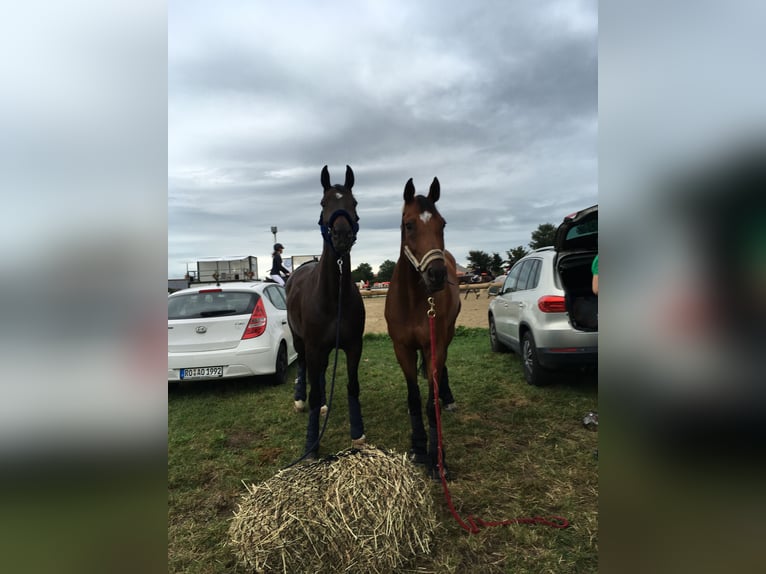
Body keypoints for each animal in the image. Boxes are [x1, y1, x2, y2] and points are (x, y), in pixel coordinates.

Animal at [286, 164, 368, 462]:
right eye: (324, 203)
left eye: (354, 202)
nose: (341, 235)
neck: (333, 298)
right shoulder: (312, 346)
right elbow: (312, 387)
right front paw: (311, 444)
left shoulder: (354, 345)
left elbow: (353, 387)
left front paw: (358, 434)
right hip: (300, 341)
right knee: (304, 368)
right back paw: (301, 400)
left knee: (320, 375)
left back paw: (323, 403)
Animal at [384, 178, 462, 480]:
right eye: (409, 225)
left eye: (443, 224)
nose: (437, 275)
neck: (413, 300)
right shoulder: (402, 349)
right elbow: (415, 398)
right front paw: (418, 448)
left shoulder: (434, 345)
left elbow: (430, 401)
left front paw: (437, 459)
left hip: (446, 336)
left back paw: (447, 398)